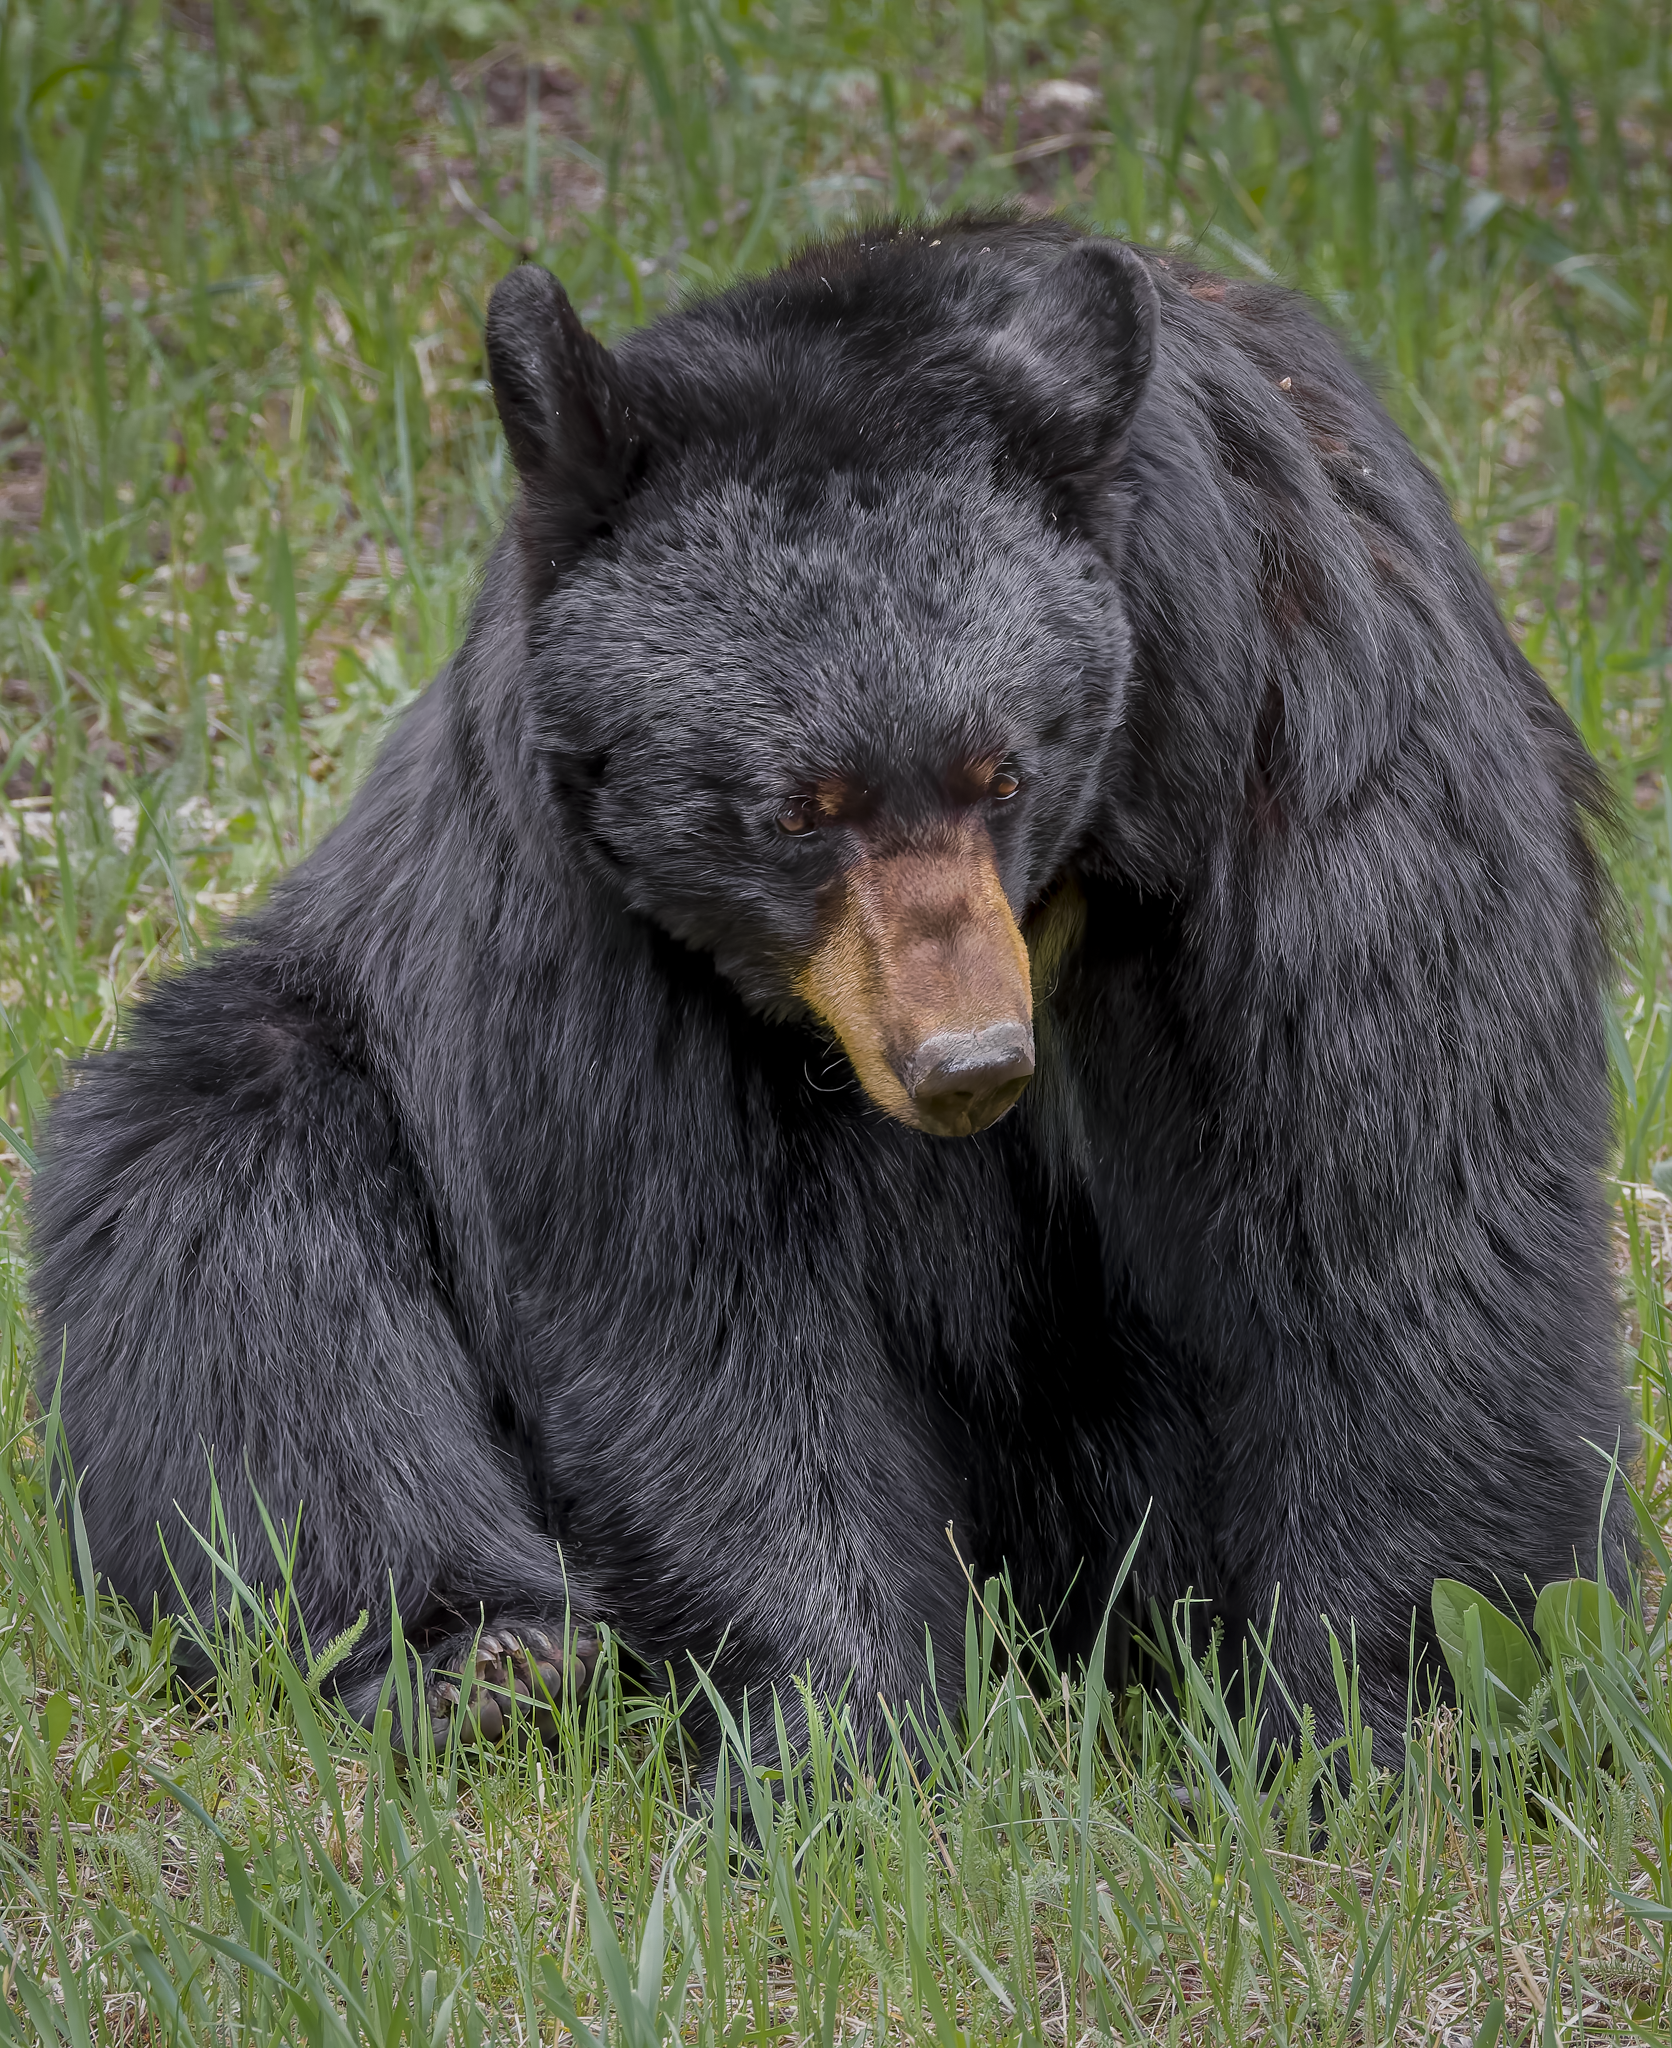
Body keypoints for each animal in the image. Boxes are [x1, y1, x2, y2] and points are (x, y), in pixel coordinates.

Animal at [30, 215, 1630, 1766]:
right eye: (799, 808)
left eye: (1004, 771)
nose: (967, 1062)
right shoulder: (589, 896)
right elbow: (696, 1286)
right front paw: (851, 1752)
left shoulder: (1311, 723)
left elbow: (1396, 1193)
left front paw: (1380, 1726)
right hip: (300, 1050)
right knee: (239, 1263)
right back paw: (488, 1659)